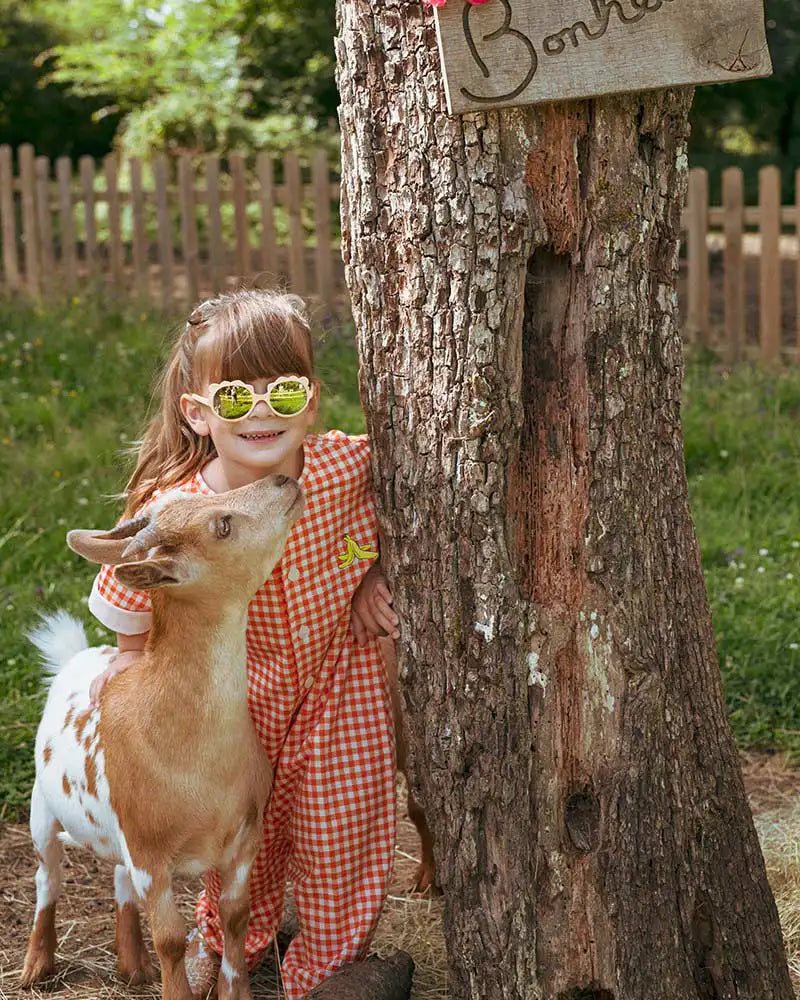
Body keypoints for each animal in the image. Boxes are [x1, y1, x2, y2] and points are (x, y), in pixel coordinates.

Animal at [21, 476, 304, 1000]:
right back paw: (37, 965)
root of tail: (78, 655)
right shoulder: (151, 854)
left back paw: (133, 965)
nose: (282, 480)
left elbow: (234, 918)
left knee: (117, 879)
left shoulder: (243, 838)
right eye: (222, 525)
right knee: (47, 877)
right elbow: (171, 938)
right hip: (42, 810)